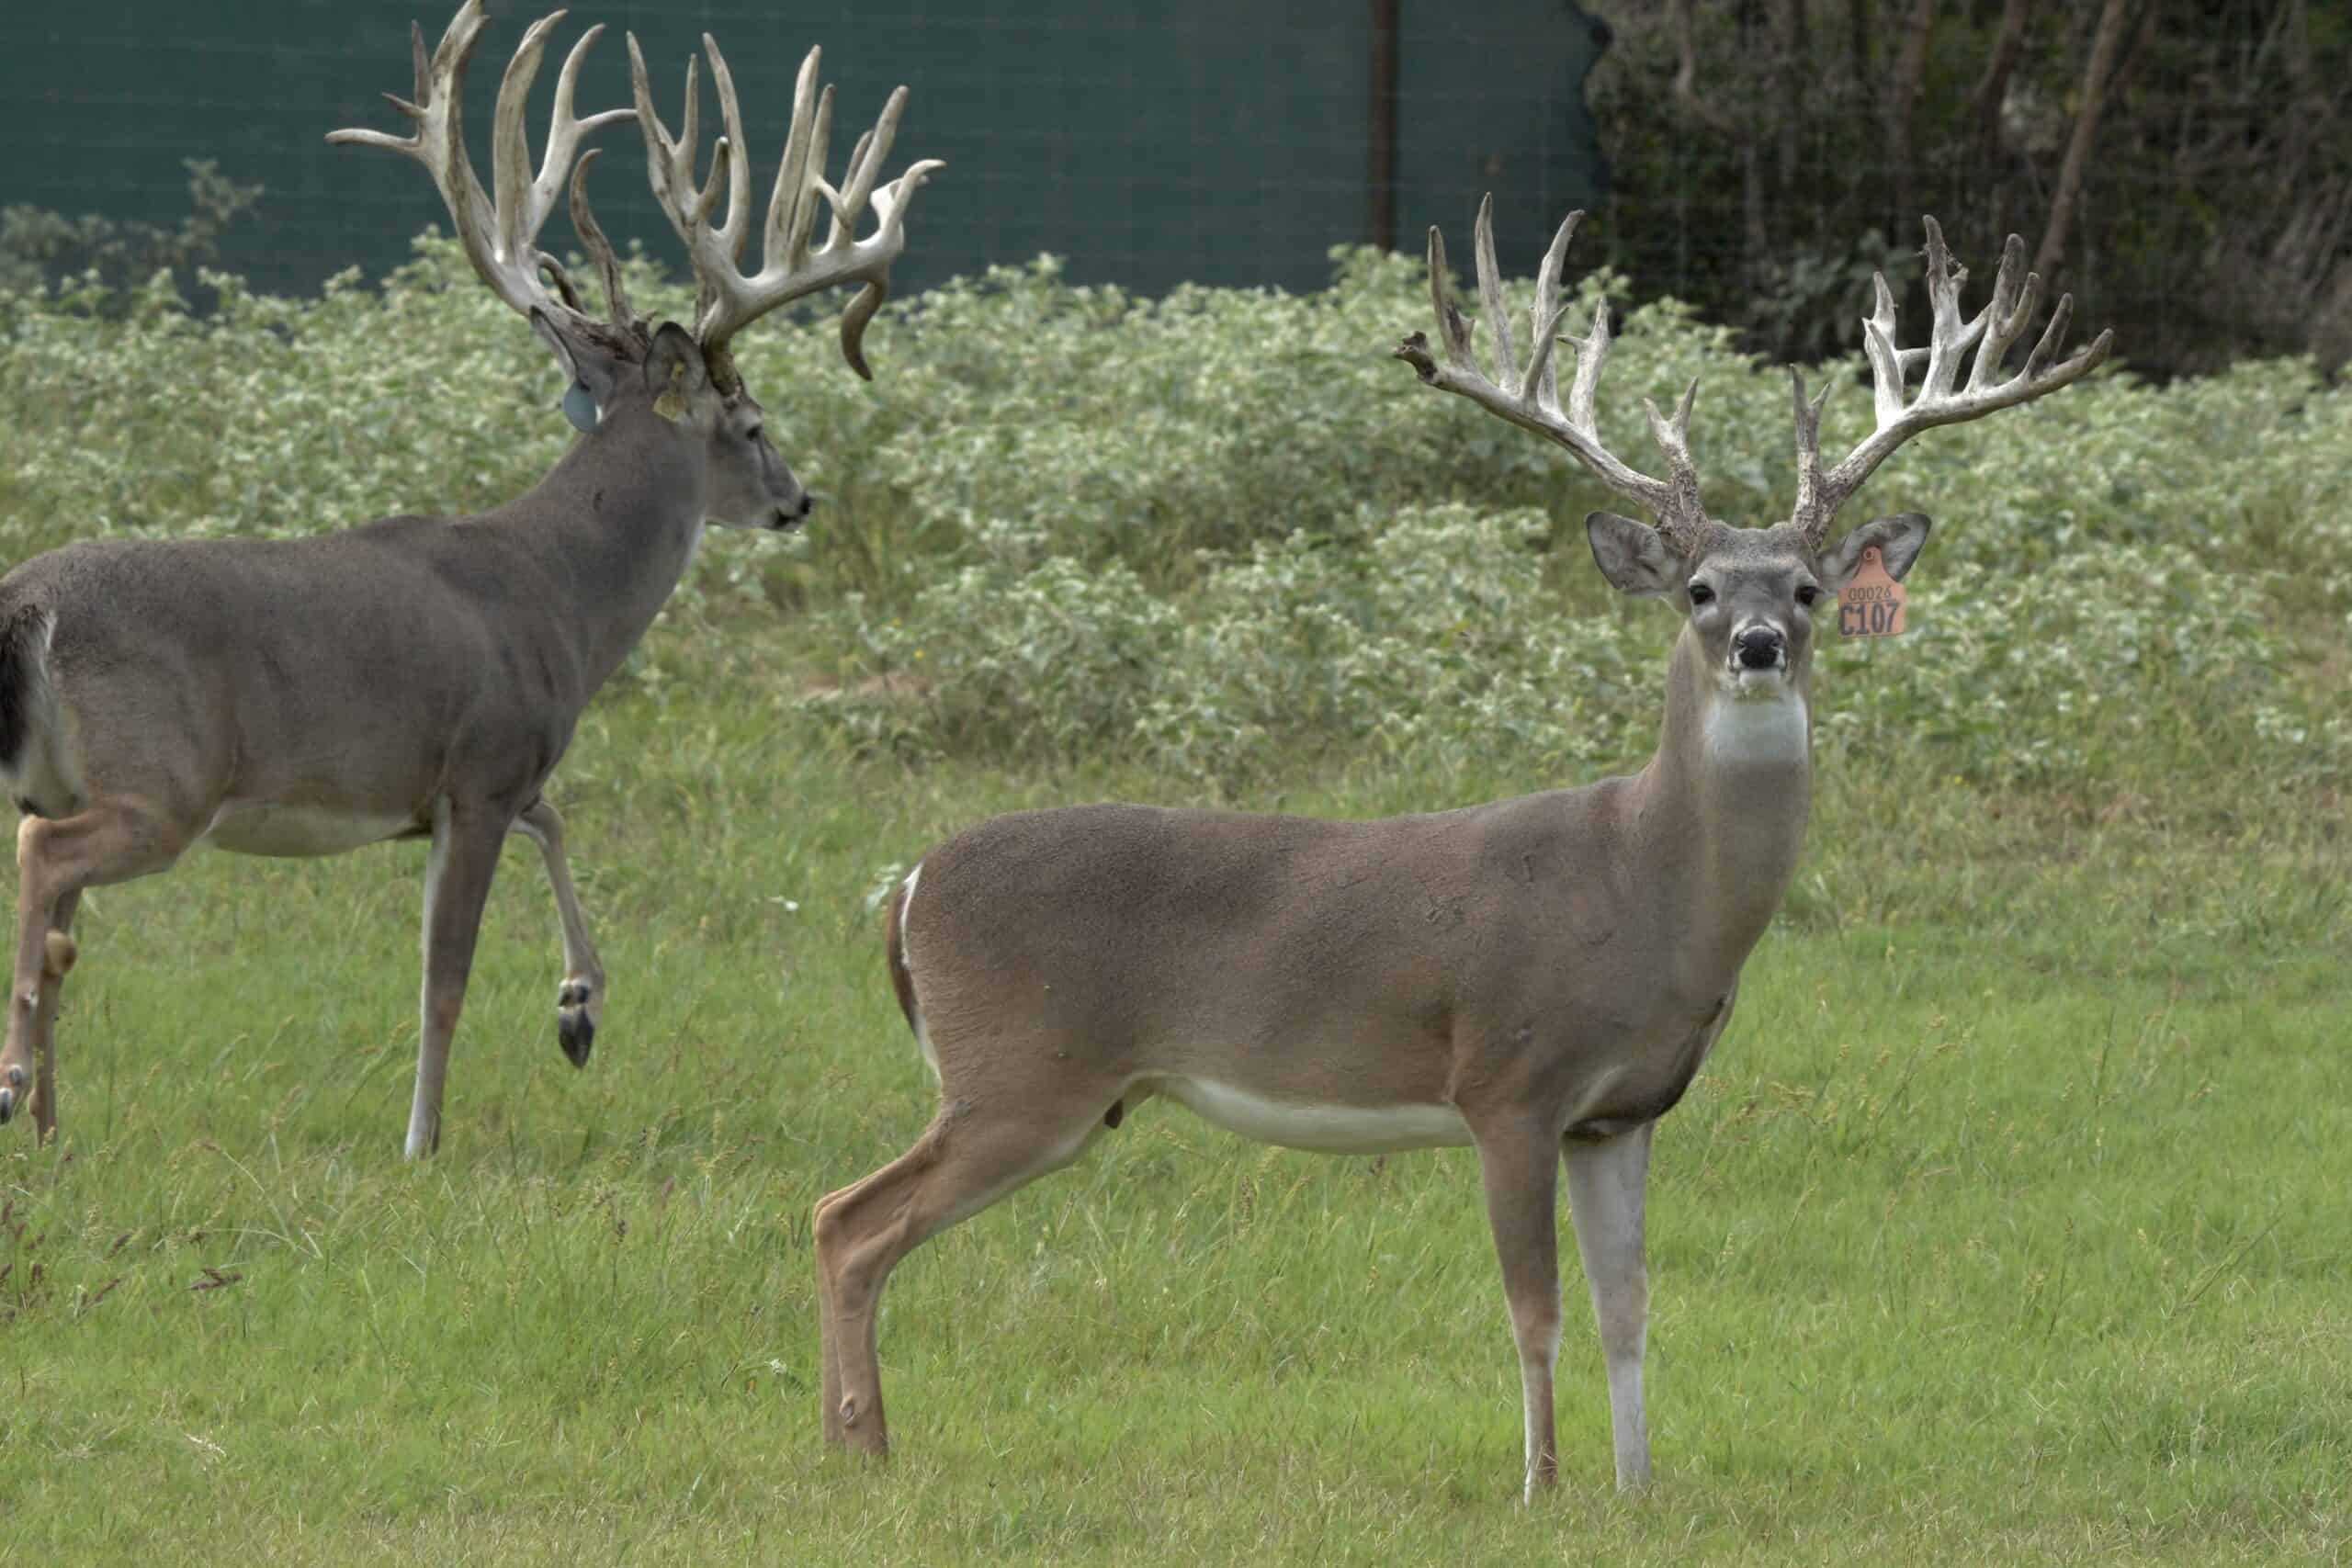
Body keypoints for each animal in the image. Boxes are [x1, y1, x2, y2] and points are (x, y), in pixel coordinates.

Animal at [0, 0, 939, 1156]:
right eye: (753, 423)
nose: (796, 499)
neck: (558, 599)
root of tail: (30, 604)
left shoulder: (484, 779)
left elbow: (559, 822)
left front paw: (579, 1009)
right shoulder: (482, 767)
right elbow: (442, 977)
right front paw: (424, 1140)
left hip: (65, 769)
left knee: (58, 928)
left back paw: (49, 1121)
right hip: (163, 782)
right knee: (43, 858)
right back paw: (14, 1086)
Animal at [812, 201, 2110, 1498]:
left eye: (1801, 589)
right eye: (1696, 588)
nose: (1753, 647)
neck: (1648, 893)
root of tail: (907, 888)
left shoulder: (1621, 1112)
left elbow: (1628, 1308)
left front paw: (1638, 1490)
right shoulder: (1508, 1082)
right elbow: (1533, 1310)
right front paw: (1540, 1485)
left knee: (842, 1218)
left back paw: (848, 1442)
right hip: (1023, 1074)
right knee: (849, 1219)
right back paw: (862, 1447)